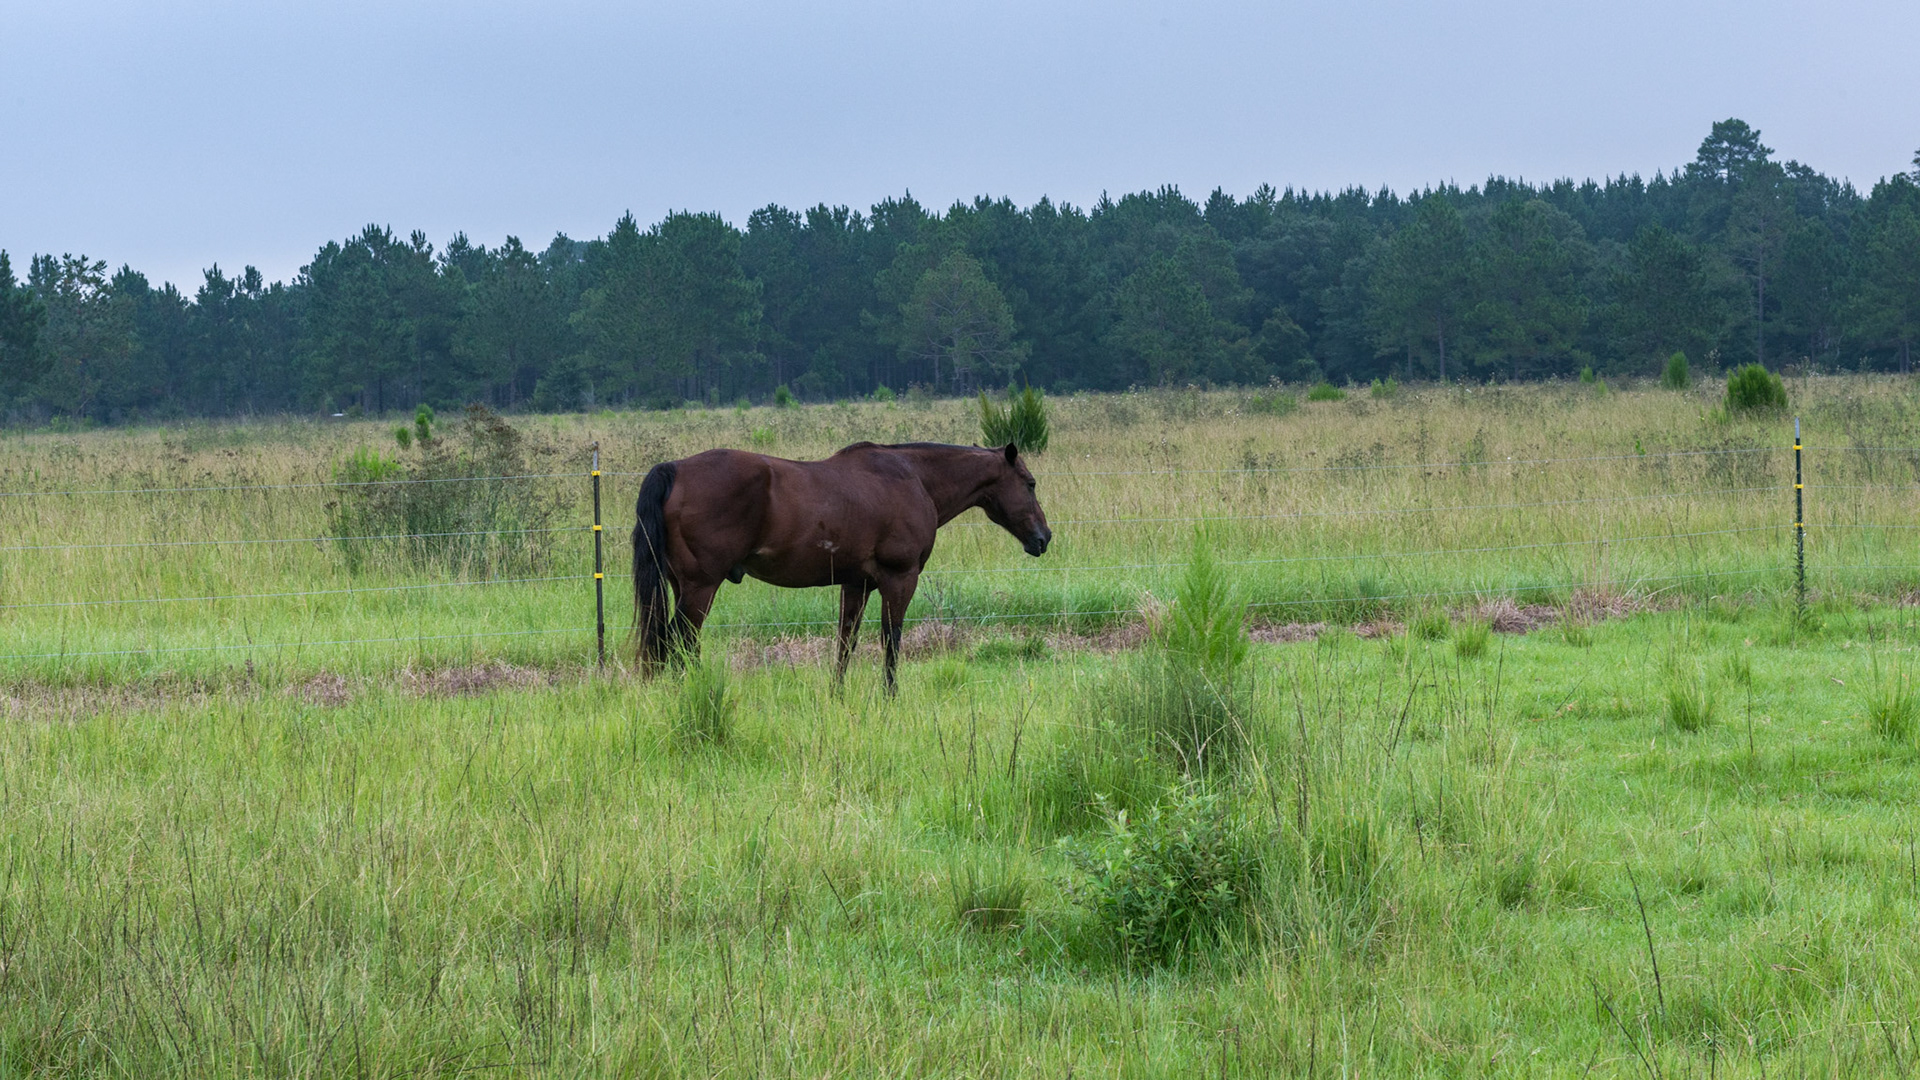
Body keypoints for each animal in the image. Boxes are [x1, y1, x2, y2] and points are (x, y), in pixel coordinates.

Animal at [631, 441, 1051, 692]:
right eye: (1030, 483)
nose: (1044, 537)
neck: (913, 478)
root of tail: (675, 469)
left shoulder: (856, 585)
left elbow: (845, 642)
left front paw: (837, 695)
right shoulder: (900, 580)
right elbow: (891, 641)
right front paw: (889, 697)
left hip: (683, 587)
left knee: (678, 642)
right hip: (701, 587)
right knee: (678, 640)